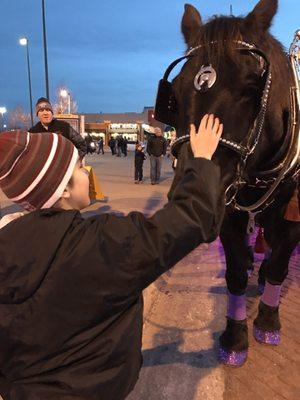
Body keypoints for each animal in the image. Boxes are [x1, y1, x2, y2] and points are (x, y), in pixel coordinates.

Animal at [156, 0, 298, 368]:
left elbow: (279, 264)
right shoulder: (228, 211)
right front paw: (235, 338)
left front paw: (267, 322)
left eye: (252, 87)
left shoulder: (294, 217)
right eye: (175, 95)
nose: (191, 182)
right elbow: (234, 273)